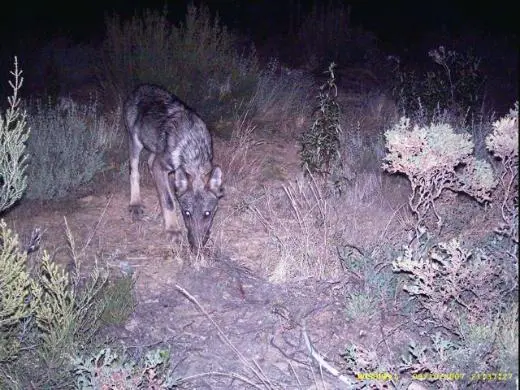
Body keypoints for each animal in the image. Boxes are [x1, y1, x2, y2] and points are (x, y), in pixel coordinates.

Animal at [126, 84, 225, 251]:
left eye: (207, 213)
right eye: (186, 213)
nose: (196, 247)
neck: (192, 148)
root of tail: (140, 87)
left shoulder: (161, 164)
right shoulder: (161, 165)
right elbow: (168, 201)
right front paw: (173, 230)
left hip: (155, 149)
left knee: (150, 162)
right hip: (136, 143)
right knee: (134, 172)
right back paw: (135, 203)